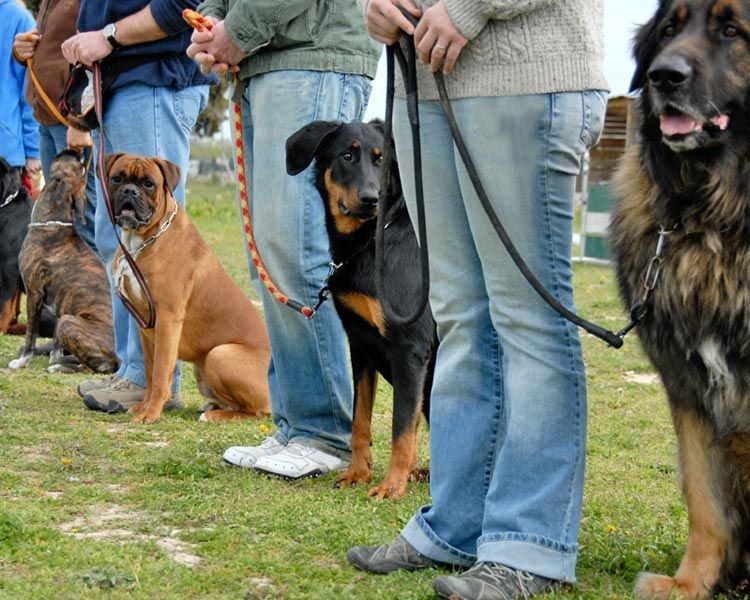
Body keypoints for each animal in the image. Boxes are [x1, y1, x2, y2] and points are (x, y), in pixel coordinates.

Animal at [9, 151, 118, 376]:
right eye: (81, 166)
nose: (79, 151)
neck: (54, 223)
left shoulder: (34, 294)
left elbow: (30, 335)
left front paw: (23, 361)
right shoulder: (60, 304)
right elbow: (56, 346)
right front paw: (53, 355)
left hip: (69, 322)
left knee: (91, 368)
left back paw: (60, 367)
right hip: (66, 318)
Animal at [104, 151, 272, 422]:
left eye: (148, 183)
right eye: (117, 178)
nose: (130, 191)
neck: (143, 240)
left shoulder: (167, 320)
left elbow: (161, 373)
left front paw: (151, 413)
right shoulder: (146, 328)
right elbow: (150, 371)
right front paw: (143, 406)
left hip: (220, 354)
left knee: (255, 412)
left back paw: (215, 416)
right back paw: (211, 406)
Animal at [290, 119, 440, 500]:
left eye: (382, 159)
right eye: (346, 156)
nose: (372, 199)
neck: (371, 241)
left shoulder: (410, 348)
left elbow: (402, 429)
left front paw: (392, 485)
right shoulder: (360, 344)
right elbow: (360, 421)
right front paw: (358, 473)